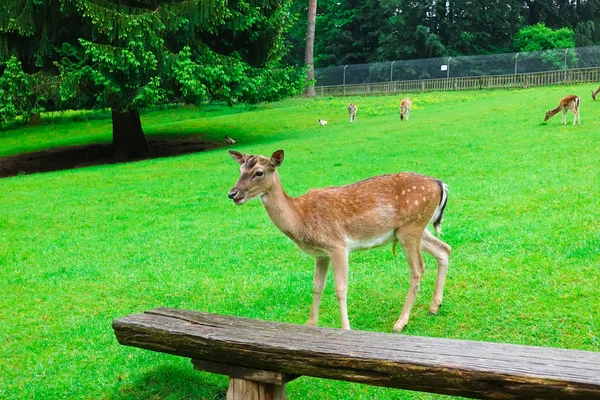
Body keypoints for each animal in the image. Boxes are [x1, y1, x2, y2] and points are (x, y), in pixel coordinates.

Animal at [229, 149, 450, 332]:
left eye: (259, 172)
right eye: (240, 169)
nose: (232, 193)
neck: (301, 217)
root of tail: (440, 185)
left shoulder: (337, 245)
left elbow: (340, 289)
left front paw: (346, 328)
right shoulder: (321, 254)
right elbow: (317, 286)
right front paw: (311, 324)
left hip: (410, 228)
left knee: (418, 268)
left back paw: (400, 322)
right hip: (412, 230)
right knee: (444, 248)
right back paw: (434, 307)